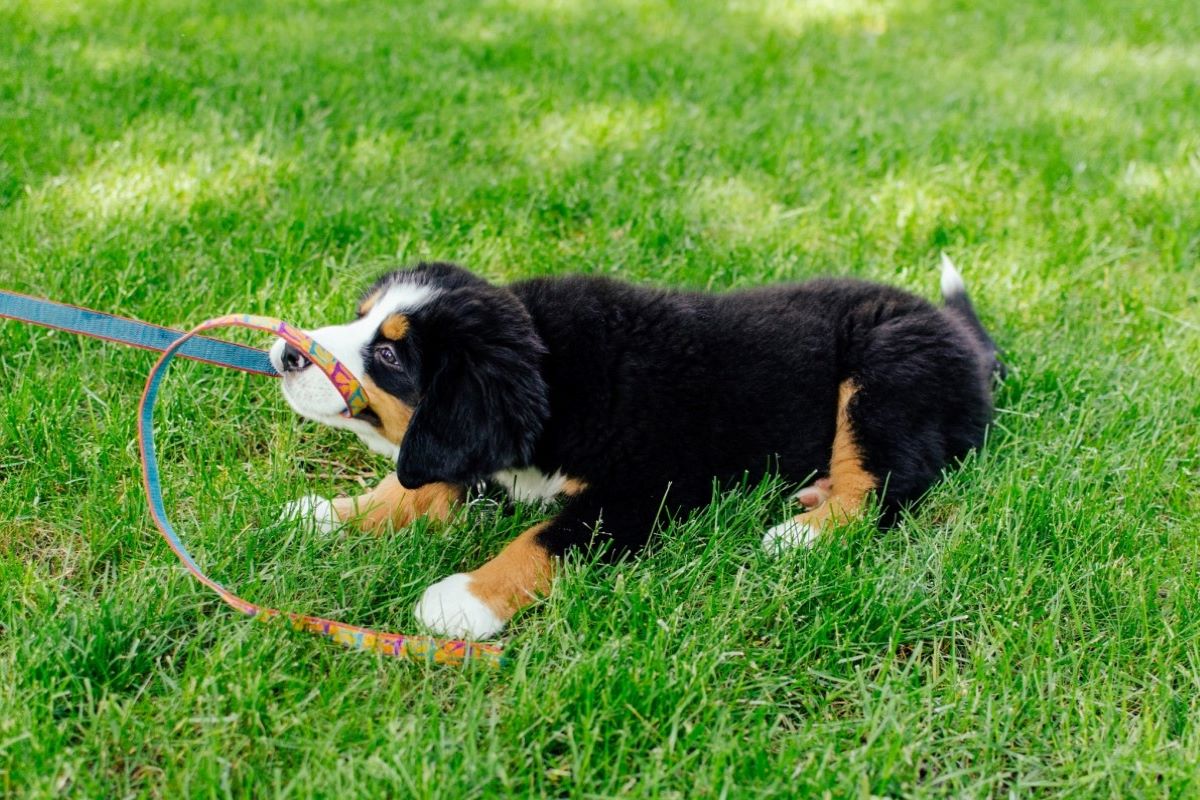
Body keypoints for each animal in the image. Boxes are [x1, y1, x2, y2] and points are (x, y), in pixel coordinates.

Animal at [272, 260, 1003, 642]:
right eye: (361, 316)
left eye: (391, 354)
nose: (283, 352)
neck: (557, 372)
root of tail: (958, 338)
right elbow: (419, 482)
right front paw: (331, 514)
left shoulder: (644, 489)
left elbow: (547, 539)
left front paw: (465, 600)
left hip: (881, 374)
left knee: (888, 479)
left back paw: (805, 533)